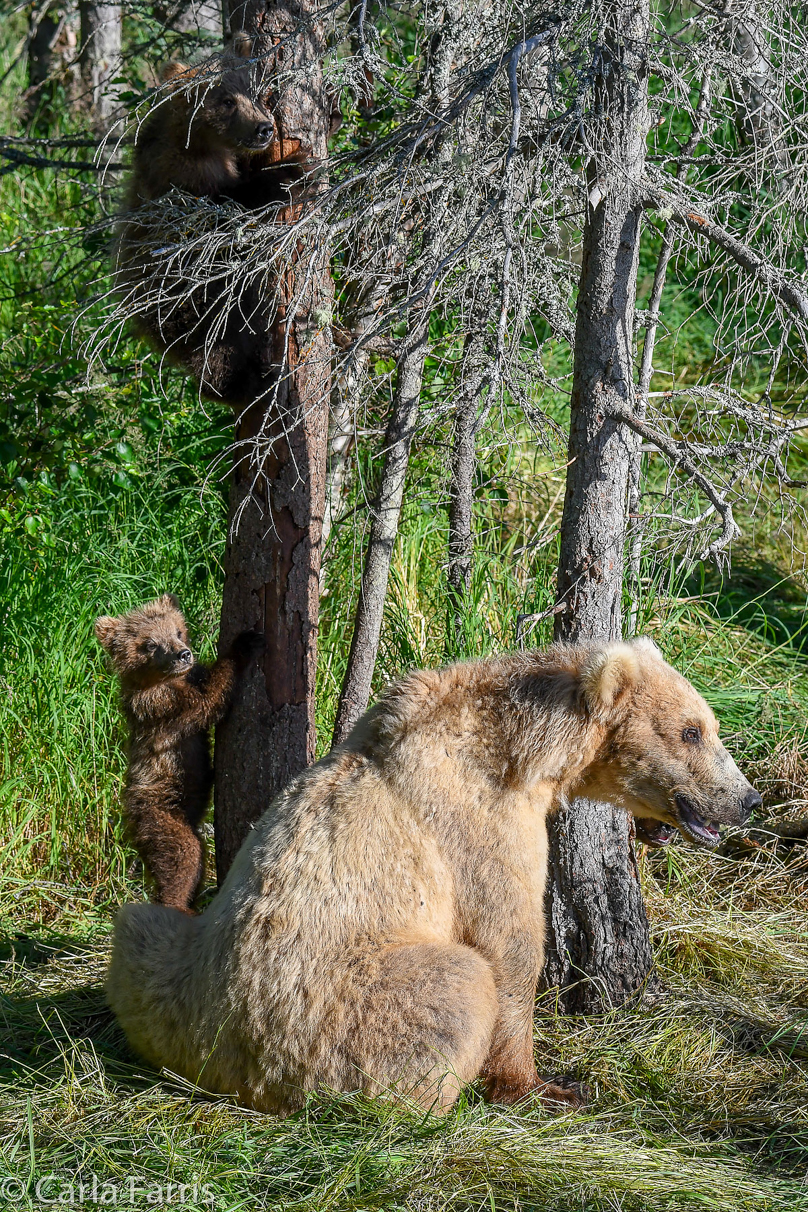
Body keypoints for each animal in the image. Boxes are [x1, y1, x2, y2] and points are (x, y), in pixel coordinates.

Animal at [105, 639, 760, 1110]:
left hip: (167, 967)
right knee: (457, 986)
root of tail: (225, 1064)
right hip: (331, 1009)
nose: (747, 799)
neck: (522, 750)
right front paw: (542, 1084)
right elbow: (508, 943)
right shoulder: (477, 821)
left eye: (709, 725)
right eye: (692, 731)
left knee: (141, 926)